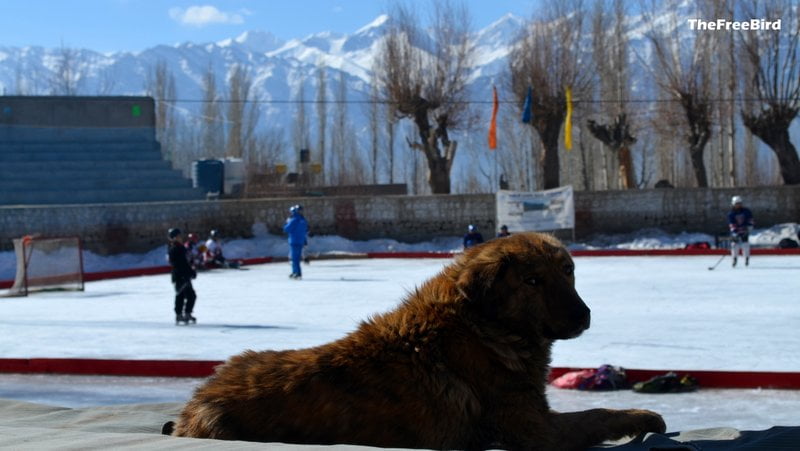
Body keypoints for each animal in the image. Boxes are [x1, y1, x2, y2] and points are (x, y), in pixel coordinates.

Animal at [172, 231, 664, 450]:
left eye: (568, 272)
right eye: (531, 280)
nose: (584, 315)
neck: (480, 326)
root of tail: (190, 407)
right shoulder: (535, 429)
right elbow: (599, 414)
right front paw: (643, 417)